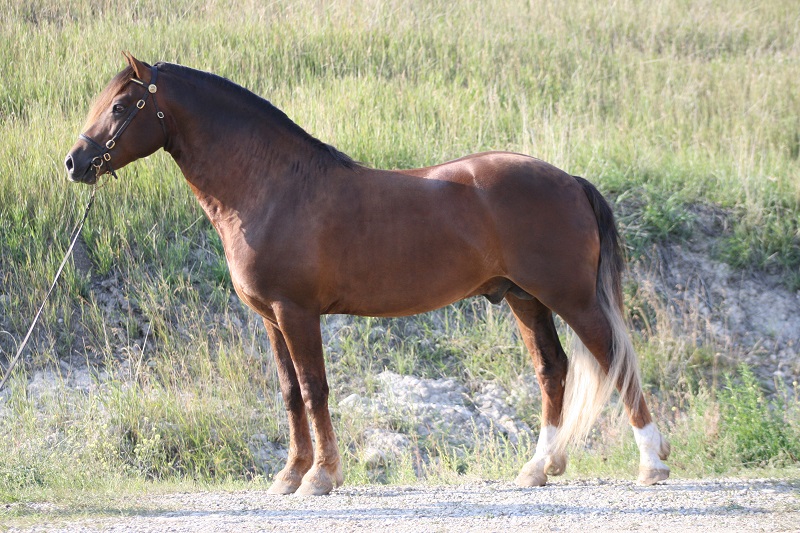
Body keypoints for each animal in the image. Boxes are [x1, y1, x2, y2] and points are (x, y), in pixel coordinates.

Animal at [65, 53, 670, 495]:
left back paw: (651, 465)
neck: (272, 186)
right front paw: (289, 475)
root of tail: (569, 179)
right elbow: (289, 392)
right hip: (525, 299)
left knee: (616, 360)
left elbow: (314, 390)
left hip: (570, 298)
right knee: (553, 370)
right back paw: (538, 468)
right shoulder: (270, 319)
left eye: (120, 105)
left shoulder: (296, 313)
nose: (75, 162)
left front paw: (321, 477)